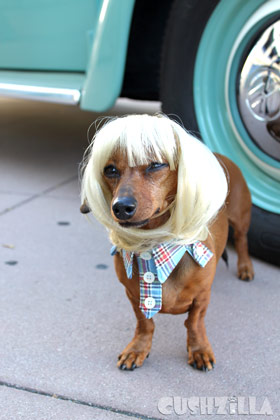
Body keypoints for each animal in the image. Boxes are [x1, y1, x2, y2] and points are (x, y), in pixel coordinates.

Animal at [80, 114, 254, 370]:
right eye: (110, 170)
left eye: (155, 164)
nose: (120, 207)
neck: (153, 244)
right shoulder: (134, 297)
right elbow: (145, 323)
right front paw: (138, 348)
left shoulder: (202, 297)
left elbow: (194, 323)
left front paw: (199, 349)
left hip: (241, 219)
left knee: (242, 241)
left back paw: (246, 267)